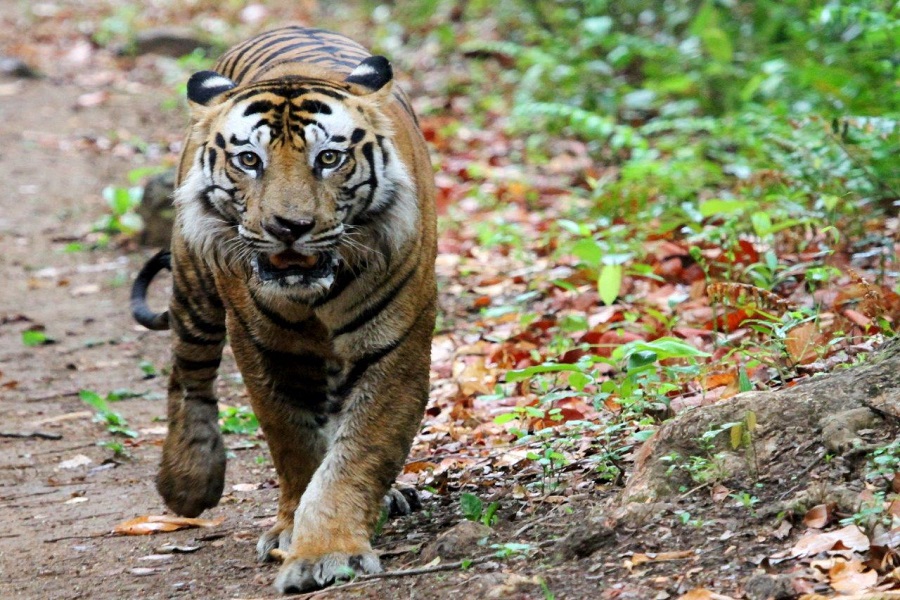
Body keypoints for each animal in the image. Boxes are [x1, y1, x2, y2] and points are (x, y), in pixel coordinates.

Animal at [132, 25, 438, 592]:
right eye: (250, 160)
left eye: (329, 159)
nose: (288, 227)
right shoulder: (265, 348)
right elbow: (294, 442)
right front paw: (292, 530)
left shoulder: (392, 350)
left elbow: (356, 454)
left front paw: (327, 552)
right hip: (193, 282)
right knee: (188, 374)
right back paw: (187, 479)